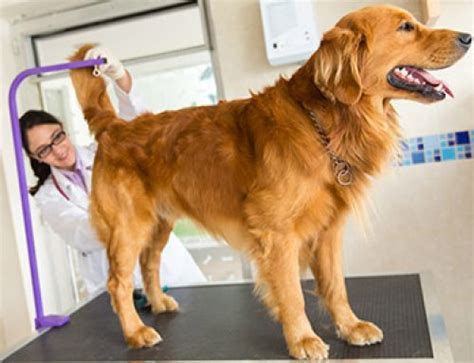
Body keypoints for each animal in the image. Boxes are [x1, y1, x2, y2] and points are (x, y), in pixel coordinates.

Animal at [67, 5, 470, 362]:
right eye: (406, 27)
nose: (468, 37)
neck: (323, 125)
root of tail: (115, 126)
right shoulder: (277, 233)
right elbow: (291, 293)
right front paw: (303, 339)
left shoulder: (328, 230)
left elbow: (336, 286)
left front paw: (350, 326)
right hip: (128, 226)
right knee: (118, 283)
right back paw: (135, 331)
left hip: (158, 223)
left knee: (149, 264)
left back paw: (158, 302)